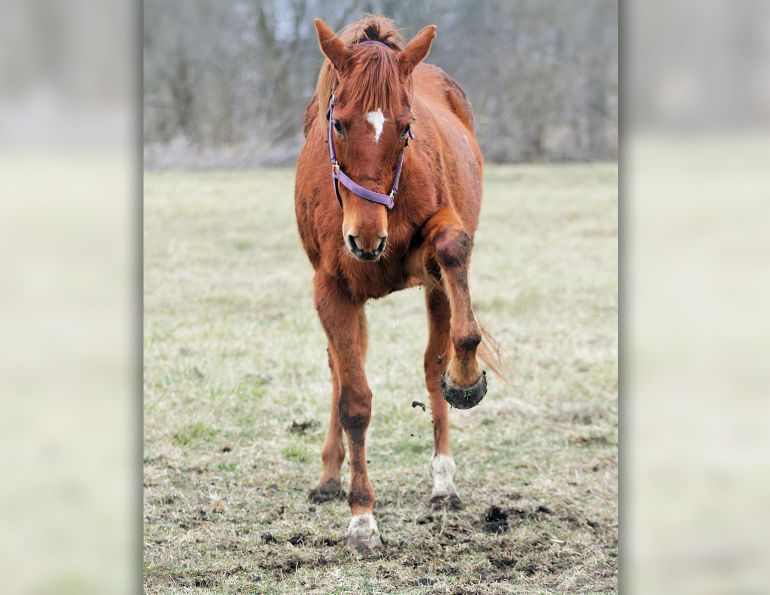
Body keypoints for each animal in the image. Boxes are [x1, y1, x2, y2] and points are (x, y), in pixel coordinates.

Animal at [294, 15, 495, 553]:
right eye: (338, 123)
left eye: (406, 128)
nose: (365, 236)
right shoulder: (332, 292)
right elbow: (353, 400)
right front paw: (362, 517)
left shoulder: (431, 257)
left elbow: (452, 247)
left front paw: (466, 378)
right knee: (339, 373)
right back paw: (329, 477)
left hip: (434, 291)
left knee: (432, 364)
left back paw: (444, 480)